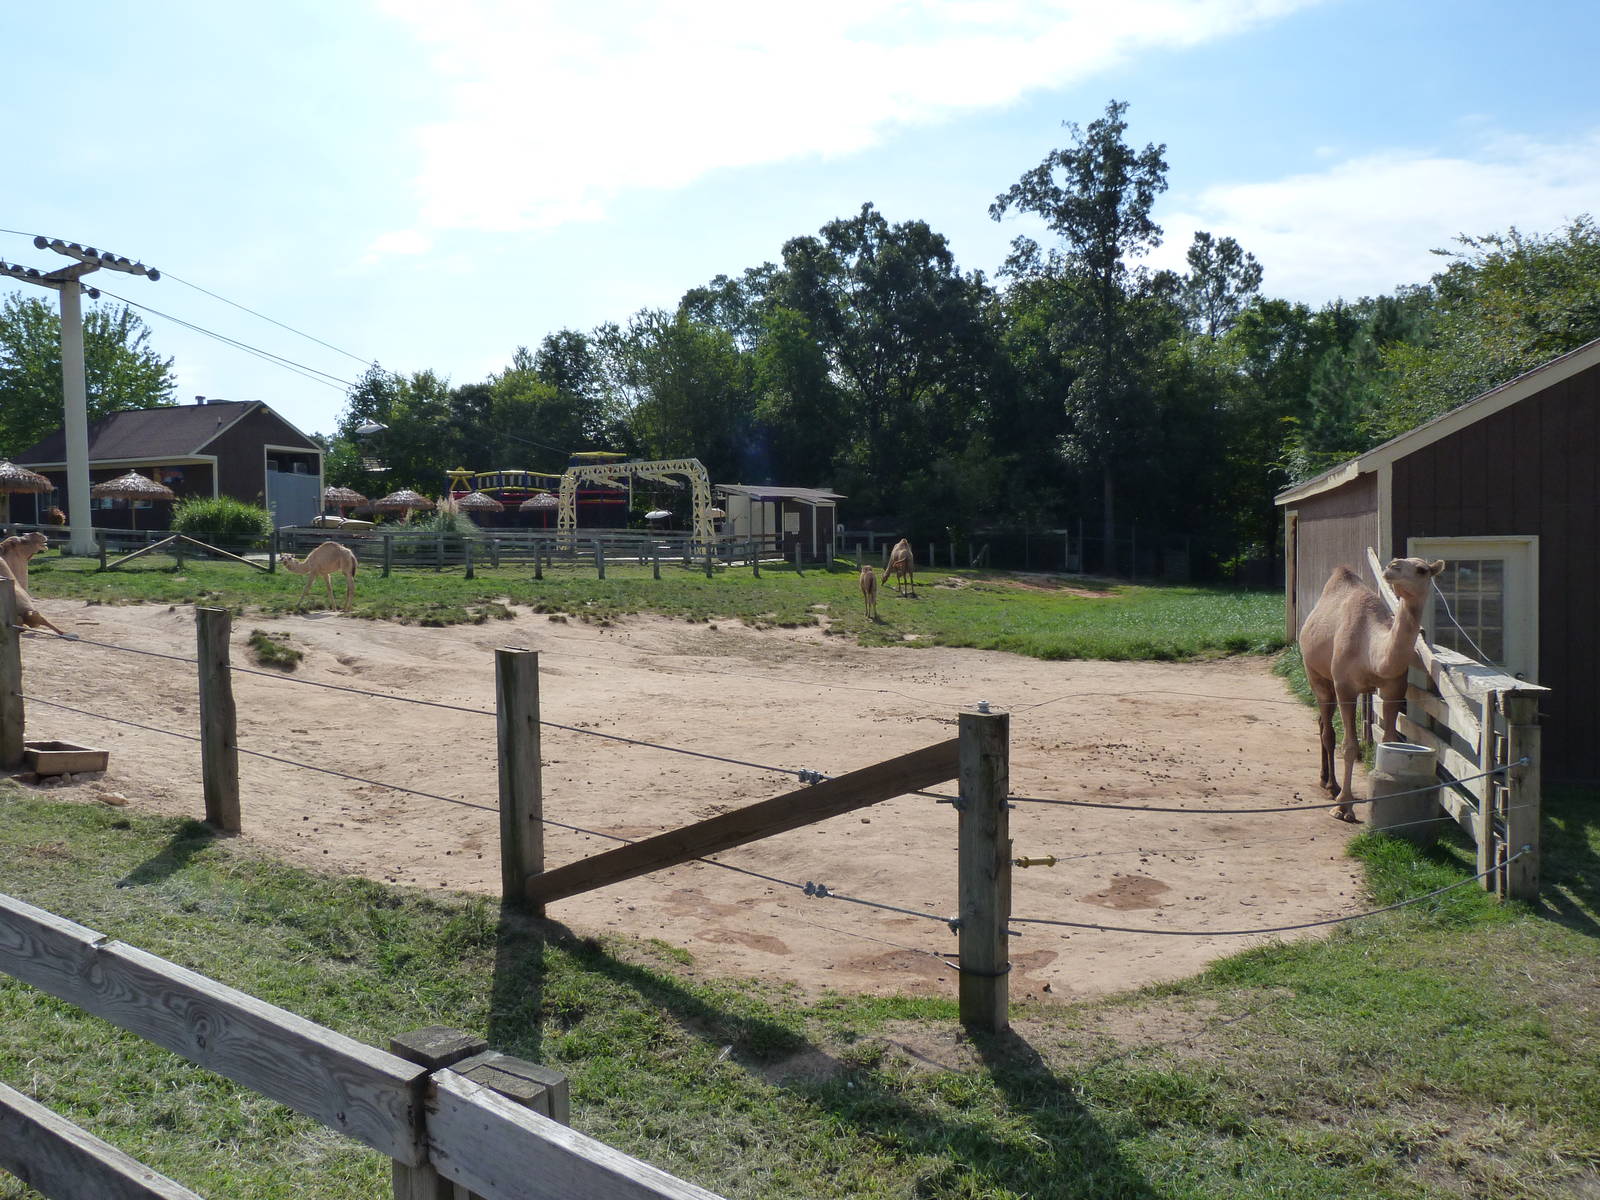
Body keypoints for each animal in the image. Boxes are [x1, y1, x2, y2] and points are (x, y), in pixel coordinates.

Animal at [1298, 556, 1444, 822]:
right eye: (1397, 563)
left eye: (1422, 570)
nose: (1393, 566)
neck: (1371, 651)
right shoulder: (1345, 687)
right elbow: (1349, 746)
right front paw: (1343, 806)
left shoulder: (1394, 688)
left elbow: (1387, 739)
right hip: (1315, 673)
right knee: (1327, 730)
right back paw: (1332, 786)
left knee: (1322, 722)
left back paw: (1325, 779)